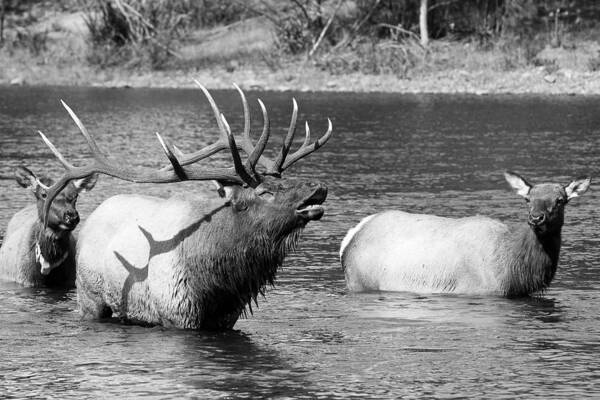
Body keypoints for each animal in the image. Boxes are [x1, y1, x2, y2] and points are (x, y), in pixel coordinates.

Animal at [38, 80, 332, 328]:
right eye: (265, 192)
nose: (318, 187)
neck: (218, 284)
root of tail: (93, 215)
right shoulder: (175, 315)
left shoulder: (225, 320)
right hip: (89, 296)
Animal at [342, 172, 592, 296]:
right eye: (527, 199)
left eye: (560, 200)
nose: (536, 218)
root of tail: (350, 237)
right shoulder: (481, 290)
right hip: (360, 281)